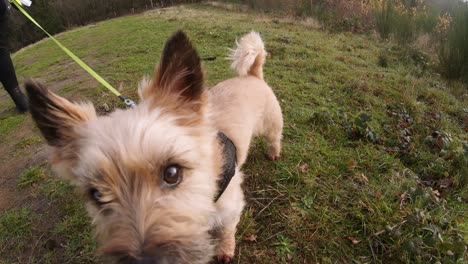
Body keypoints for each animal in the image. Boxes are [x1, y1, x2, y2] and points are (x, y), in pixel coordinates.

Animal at [27, 29, 284, 262]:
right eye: (96, 195)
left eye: (172, 173)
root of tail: (251, 74)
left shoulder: (230, 208)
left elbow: (226, 232)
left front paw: (224, 250)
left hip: (271, 122)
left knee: (275, 137)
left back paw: (273, 152)